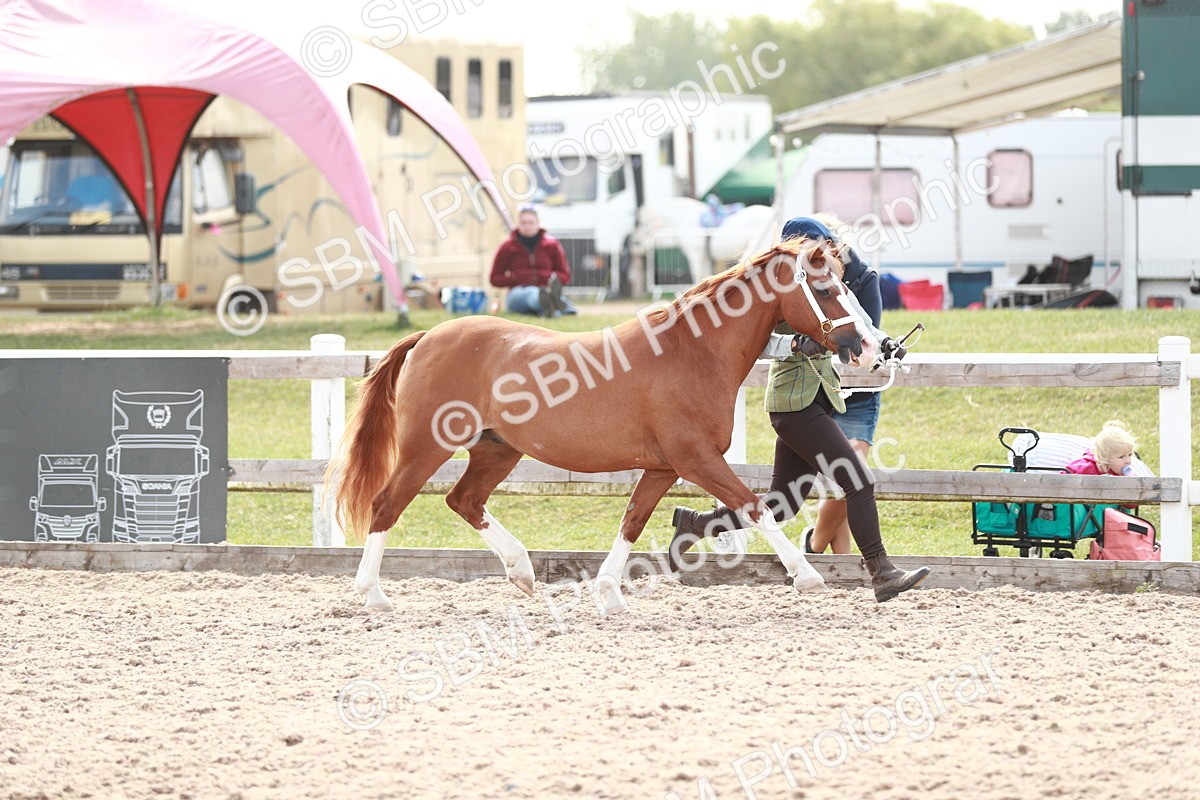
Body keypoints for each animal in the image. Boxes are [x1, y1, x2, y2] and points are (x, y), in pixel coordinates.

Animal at [332, 237, 876, 613]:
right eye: (825, 288)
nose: (868, 347)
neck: (692, 351)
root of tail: (428, 337)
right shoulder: (697, 459)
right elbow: (754, 506)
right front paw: (806, 576)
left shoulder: (663, 468)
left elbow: (632, 521)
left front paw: (610, 594)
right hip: (426, 447)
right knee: (387, 504)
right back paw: (373, 594)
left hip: (497, 449)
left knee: (463, 501)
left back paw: (522, 571)